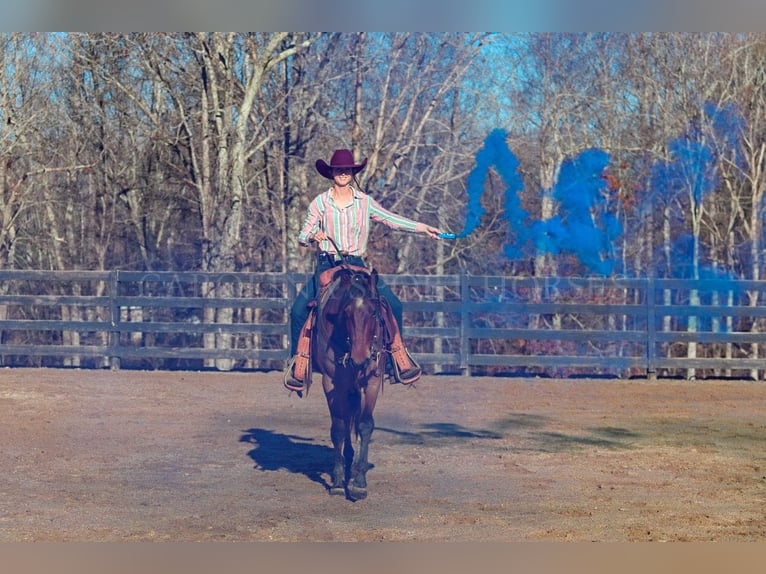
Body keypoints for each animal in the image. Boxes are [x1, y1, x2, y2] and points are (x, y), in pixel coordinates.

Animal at [312, 264, 384, 500]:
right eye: (346, 313)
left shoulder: (372, 381)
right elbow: (339, 428)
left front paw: (359, 483)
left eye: (373, 312)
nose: (359, 359)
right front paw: (336, 481)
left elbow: (365, 425)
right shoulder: (332, 383)